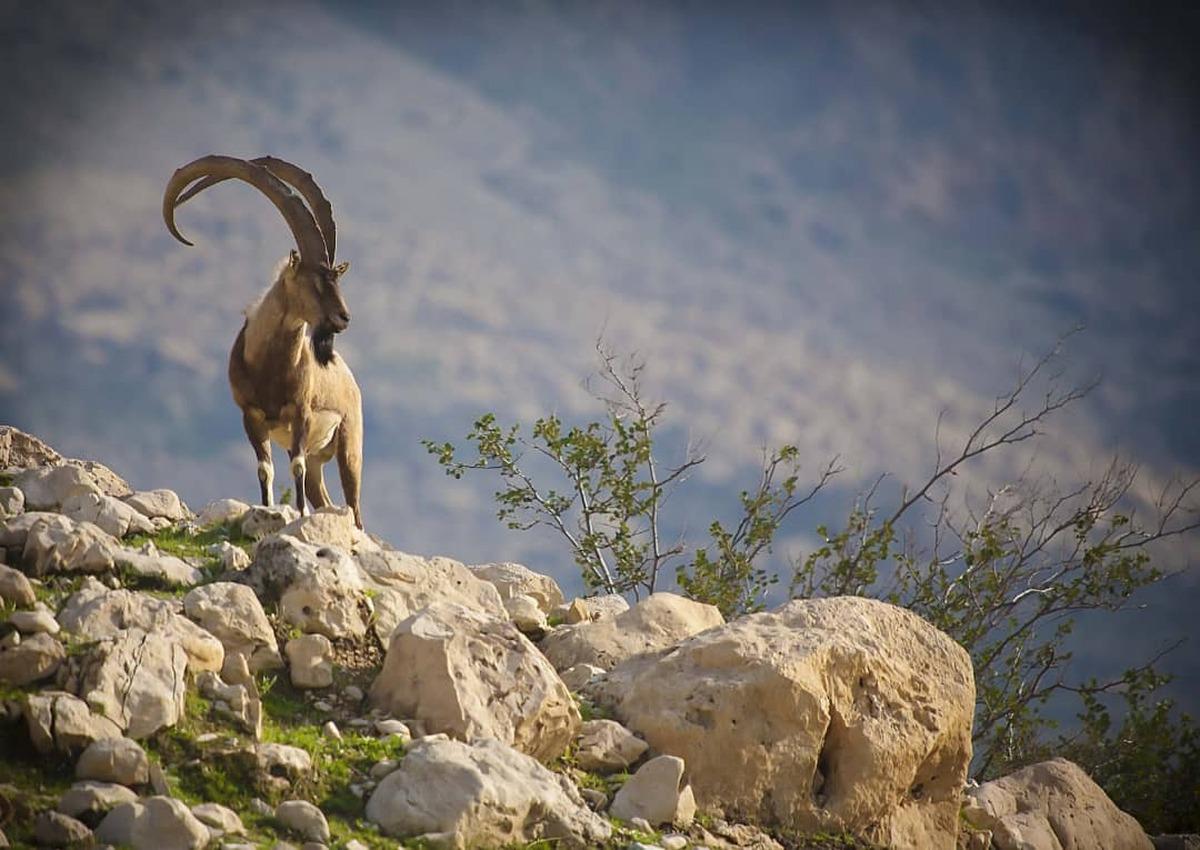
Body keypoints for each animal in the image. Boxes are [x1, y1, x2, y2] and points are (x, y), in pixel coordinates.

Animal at [163, 152, 364, 523]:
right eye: (314, 280)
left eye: (336, 279)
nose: (343, 318)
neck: (269, 367)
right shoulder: (251, 417)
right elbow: (264, 470)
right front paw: (268, 512)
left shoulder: (300, 413)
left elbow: (295, 467)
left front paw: (297, 516)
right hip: (319, 458)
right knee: (323, 496)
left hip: (349, 443)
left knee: (354, 507)